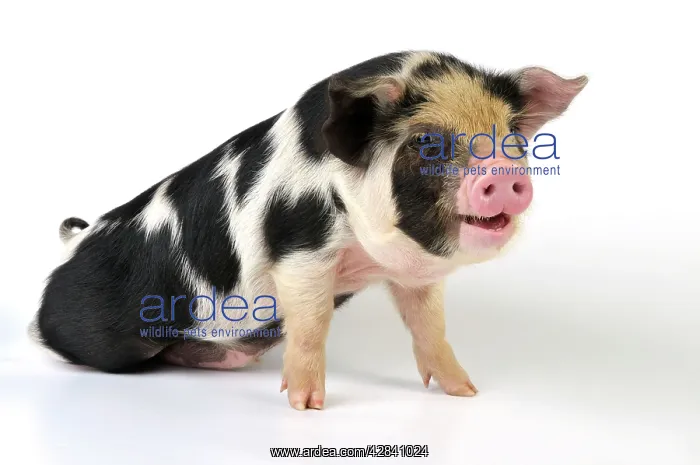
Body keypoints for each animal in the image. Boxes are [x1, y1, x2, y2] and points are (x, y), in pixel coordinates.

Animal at [31, 51, 587, 410]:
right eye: (427, 141)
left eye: (511, 135)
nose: (503, 174)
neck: (366, 255)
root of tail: (75, 241)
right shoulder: (299, 248)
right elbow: (311, 324)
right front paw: (305, 406)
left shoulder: (413, 278)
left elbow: (430, 329)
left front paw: (466, 392)